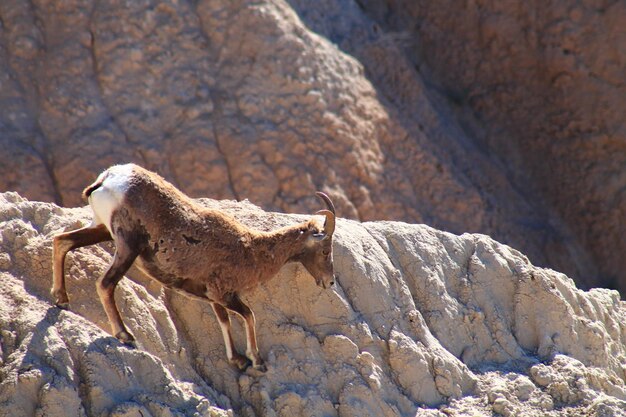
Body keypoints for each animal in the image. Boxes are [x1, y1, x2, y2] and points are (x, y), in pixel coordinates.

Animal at [50, 163, 334, 370]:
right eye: (325, 249)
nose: (329, 282)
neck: (251, 249)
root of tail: (108, 179)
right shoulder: (224, 293)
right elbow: (249, 315)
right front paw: (256, 361)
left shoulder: (214, 297)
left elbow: (224, 321)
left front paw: (237, 360)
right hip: (127, 246)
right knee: (105, 283)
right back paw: (125, 335)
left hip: (101, 229)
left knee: (62, 241)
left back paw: (61, 298)